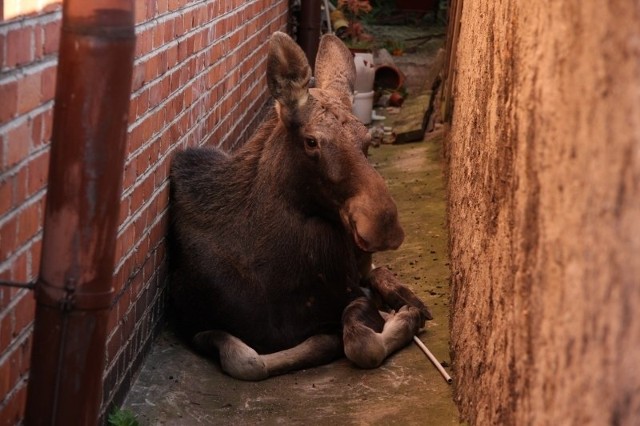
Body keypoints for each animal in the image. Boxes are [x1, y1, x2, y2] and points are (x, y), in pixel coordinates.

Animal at [168, 32, 432, 380]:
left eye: (366, 139)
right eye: (311, 141)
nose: (383, 225)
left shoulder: (351, 294)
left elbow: (361, 342)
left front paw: (401, 317)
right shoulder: (192, 323)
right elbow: (246, 360)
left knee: (376, 271)